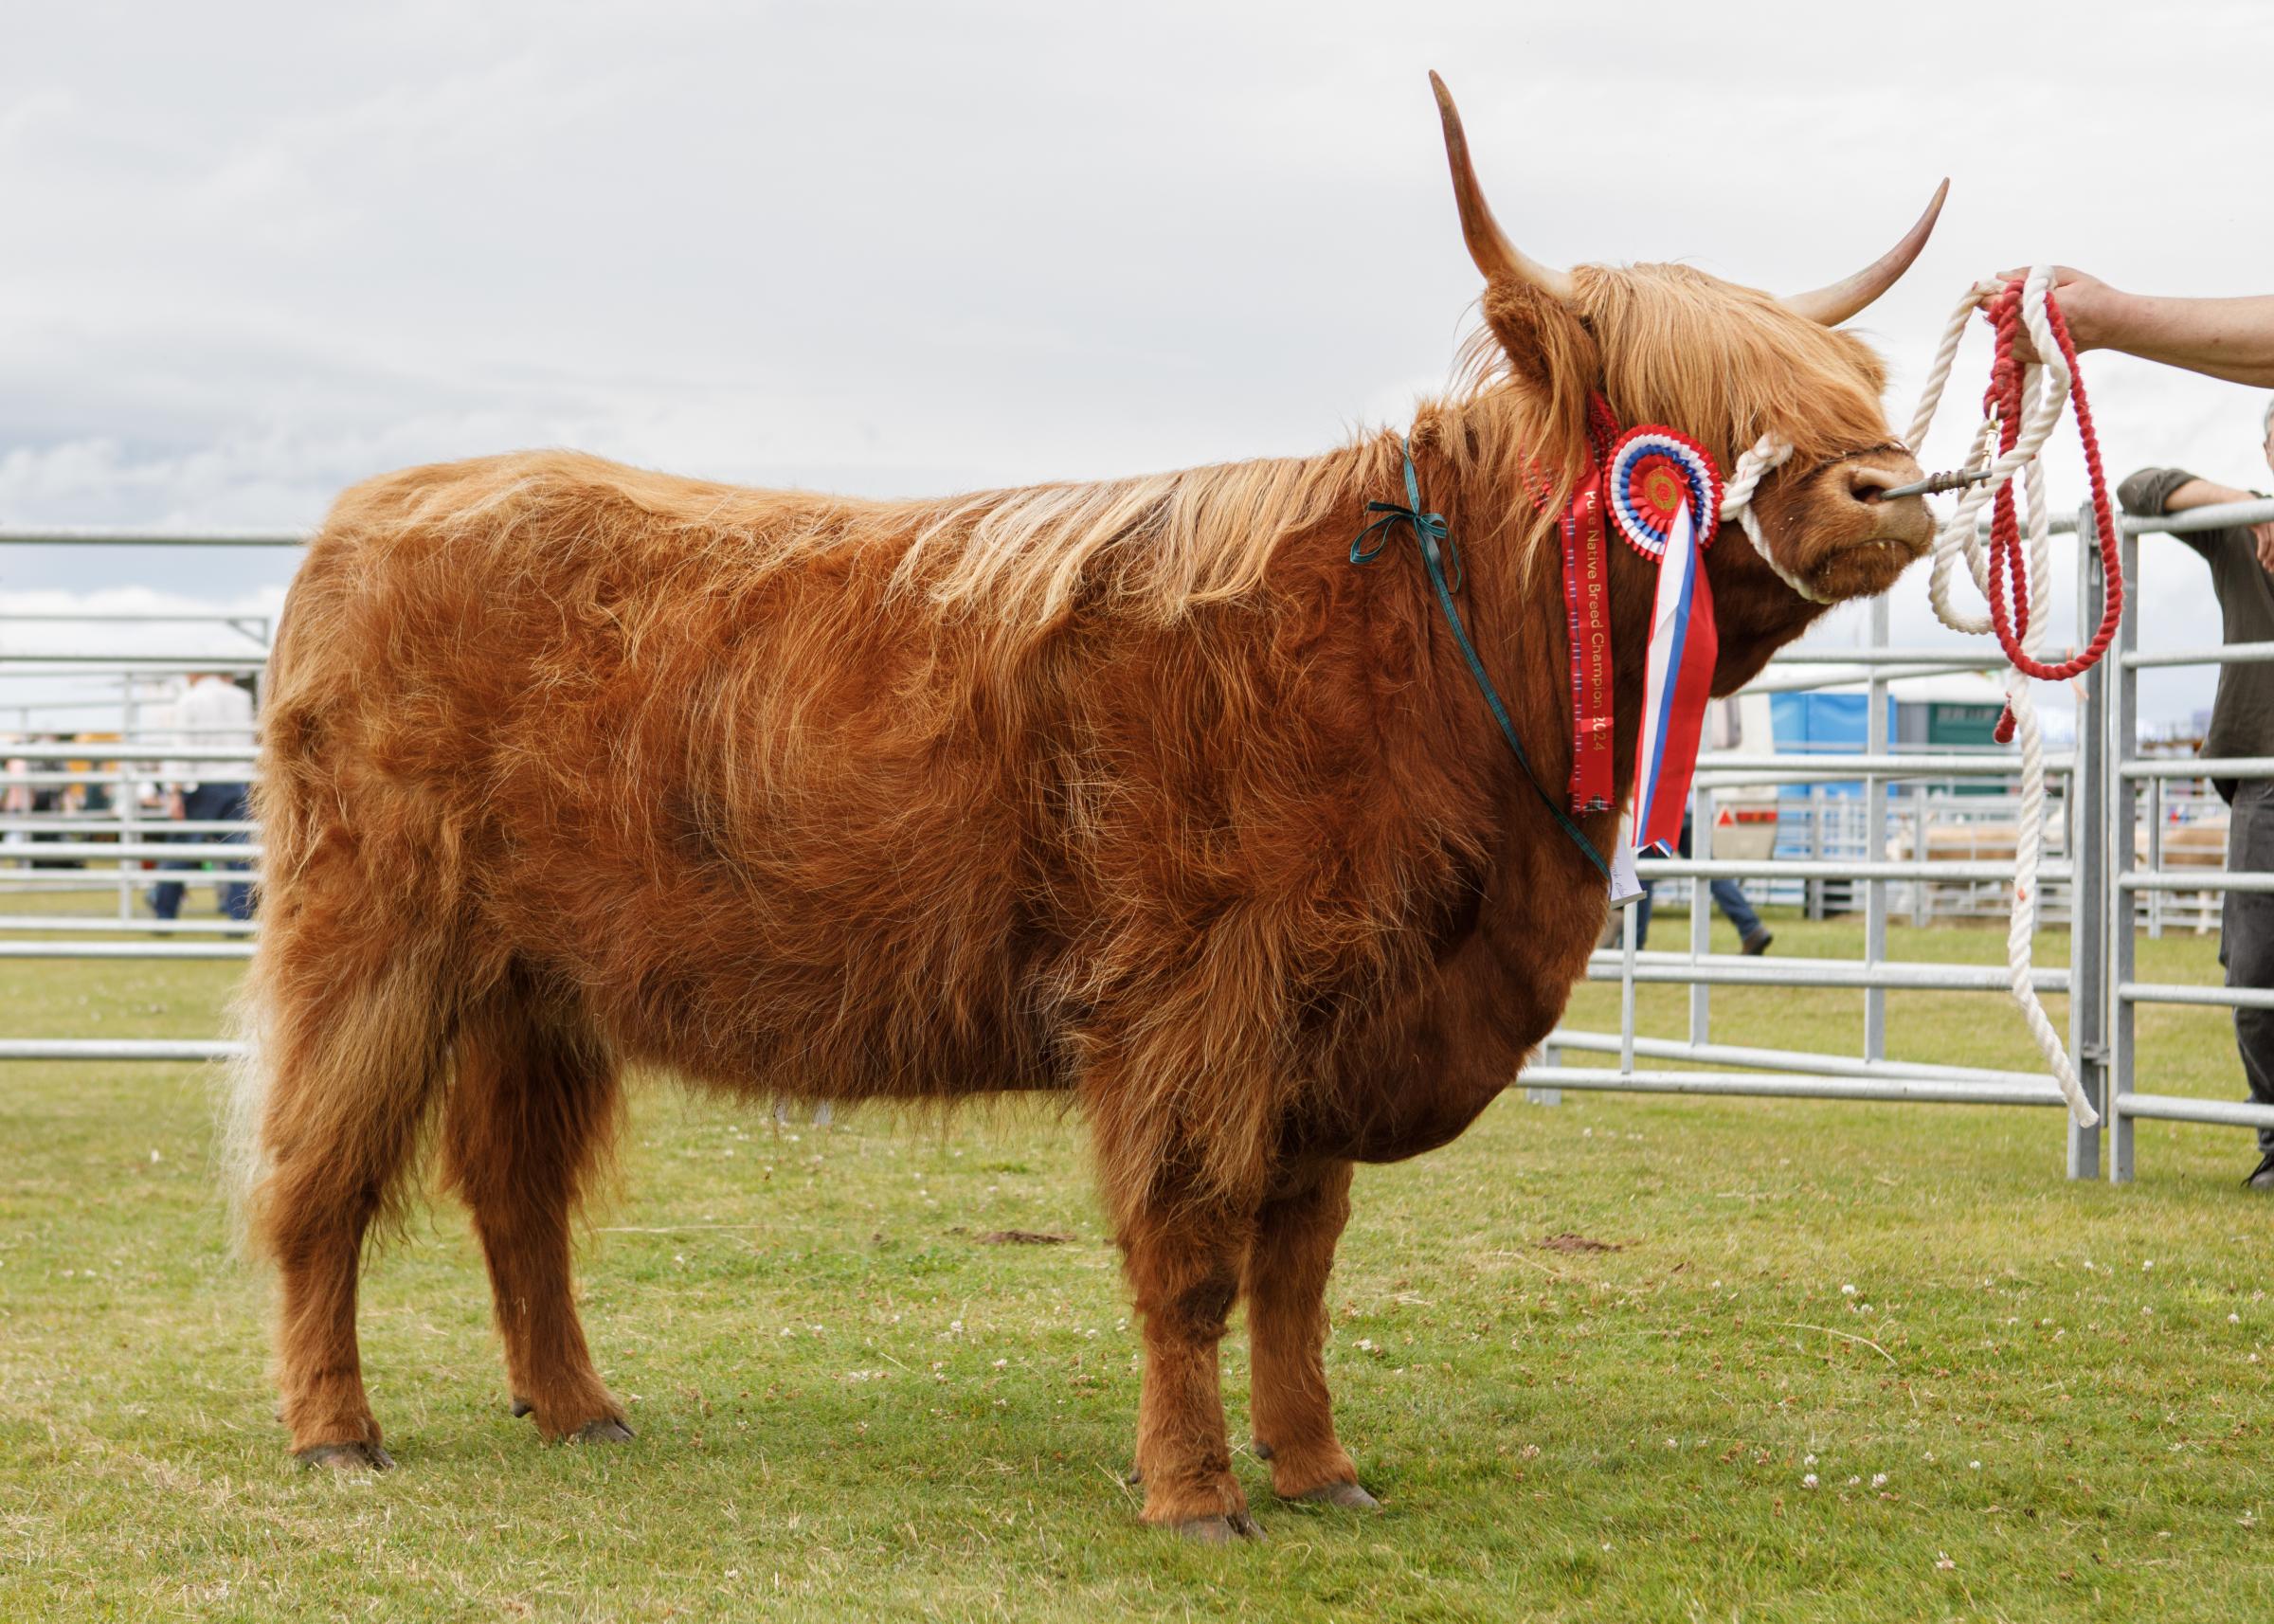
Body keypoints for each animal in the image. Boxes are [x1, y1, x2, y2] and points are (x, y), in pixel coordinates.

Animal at [226, 79, 1937, 1546]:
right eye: (1692, 400)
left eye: (1849, 382)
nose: (1895, 488)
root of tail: (382, 510)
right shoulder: (1195, 996)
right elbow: (1191, 1258)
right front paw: (1196, 1491)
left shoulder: (1327, 1022)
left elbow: (1298, 1267)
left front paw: (1320, 1467)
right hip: (373, 940)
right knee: (318, 1177)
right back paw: (335, 1430)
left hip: (538, 984)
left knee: (517, 1192)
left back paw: (577, 1406)